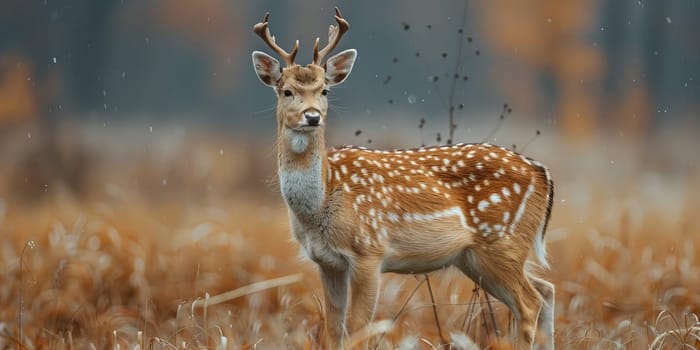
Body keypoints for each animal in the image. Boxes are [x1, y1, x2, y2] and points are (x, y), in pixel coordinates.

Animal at [250, 8, 552, 350]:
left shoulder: (369, 250)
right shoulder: (326, 262)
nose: (313, 116)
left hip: (502, 241)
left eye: (324, 90)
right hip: (476, 257)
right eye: (286, 90)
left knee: (529, 303)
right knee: (546, 291)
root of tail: (543, 173)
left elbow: (359, 327)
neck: (323, 202)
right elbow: (332, 329)